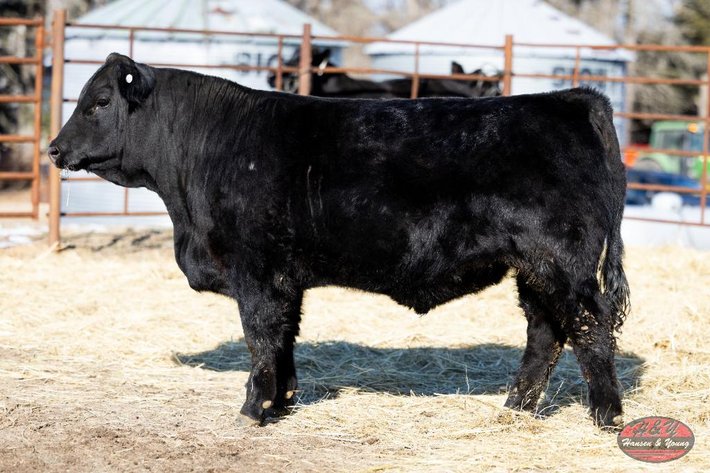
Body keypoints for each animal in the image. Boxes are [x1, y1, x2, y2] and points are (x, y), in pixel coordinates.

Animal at [49, 53, 630, 428]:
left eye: (99, 101)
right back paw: (516, 408)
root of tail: (572, 100)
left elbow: (260, 338)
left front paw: (252, 410)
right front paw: (281, 402)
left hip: (562, 264)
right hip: (534, 269)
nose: (54, 148)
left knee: (590, 328)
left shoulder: (256, 273)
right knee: (546, 332)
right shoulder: (285, 278)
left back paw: (607, 416)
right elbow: (283, 339)